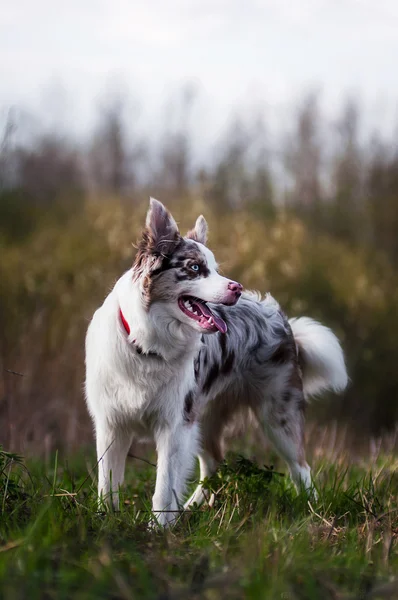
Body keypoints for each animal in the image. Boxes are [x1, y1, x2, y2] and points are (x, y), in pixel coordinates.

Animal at [85, 198, 346, 524]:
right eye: (195, 268)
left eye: (216, 269)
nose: (236, 287)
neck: (148, 345)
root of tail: (281, 319)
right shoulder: (111, 423)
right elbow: (107, 484)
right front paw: (106, 522)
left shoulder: (175, 424)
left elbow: (164, 485)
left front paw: (158, 527)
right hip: (206, 418)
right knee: (214, 465)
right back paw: (191, 509)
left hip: (277, 415)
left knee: (301, 467)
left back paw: (313, 512)